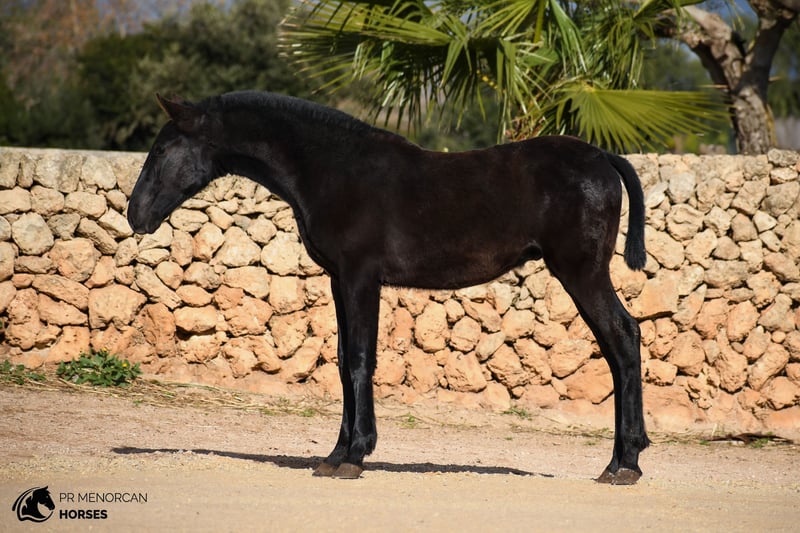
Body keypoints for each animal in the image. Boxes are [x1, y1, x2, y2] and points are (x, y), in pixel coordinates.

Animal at [127, 91, 650, 485]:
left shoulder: (360, 276)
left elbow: (360, 360)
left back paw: (624, 463)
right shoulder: (340, 279)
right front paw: (336, 454)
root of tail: (603, 157)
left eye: (162, 150)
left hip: (581, 273)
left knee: (623, 339)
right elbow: (343, 361)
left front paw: (355, 455)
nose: (135, 215)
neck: (333, 169)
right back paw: (623, 458)